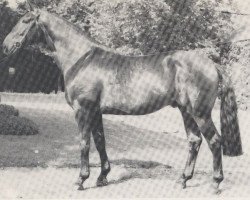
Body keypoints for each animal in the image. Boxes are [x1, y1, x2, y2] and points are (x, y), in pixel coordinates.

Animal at [2, 4, 242, 192]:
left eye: (25, 21)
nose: (5, 46)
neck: (82, 59)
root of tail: (211, 64)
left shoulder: (83, 110)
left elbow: (84, 142)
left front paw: (80, 180)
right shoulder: (96, 112)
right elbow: (100, 141)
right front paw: (102, 177)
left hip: (200, 113)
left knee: (214, 141)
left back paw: (215, 183)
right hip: (186, 112)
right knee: (194, 141)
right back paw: (182, 180)